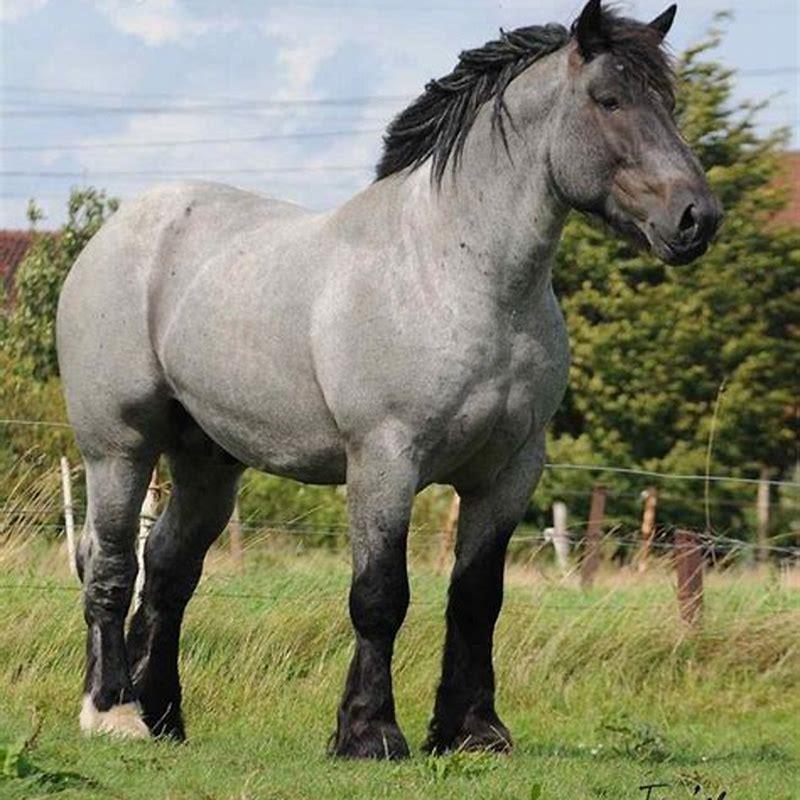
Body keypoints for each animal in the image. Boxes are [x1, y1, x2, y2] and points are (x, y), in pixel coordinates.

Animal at [56, 0, 721, 759]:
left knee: (168, 573)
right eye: (608, 100)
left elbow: (476, 598)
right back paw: (112, 711)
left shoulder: (510, 471)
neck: (457, 275)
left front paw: (472, 730)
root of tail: (118, 231)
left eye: (668, 103)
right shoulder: (384, 460)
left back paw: (163, 715)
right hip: (118, 449)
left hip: (208, 463)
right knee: (110, 567)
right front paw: (369, 732)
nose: (697, 218)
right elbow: (379, 596)